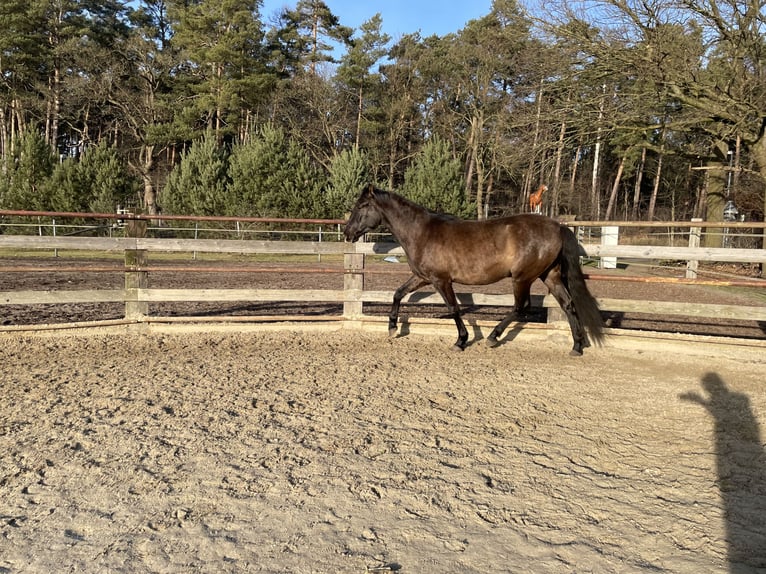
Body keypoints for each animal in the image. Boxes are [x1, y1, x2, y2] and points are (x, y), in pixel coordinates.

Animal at [344, 185, 604, 355]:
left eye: (362, 205)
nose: (347, 233)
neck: (422, 232)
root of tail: (557, 226)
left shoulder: (441, 280)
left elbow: (454, 308)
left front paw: (461, 341)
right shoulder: (422, 277)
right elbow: (398, 293)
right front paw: (392, 327)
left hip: (522, 278)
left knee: (521, 307)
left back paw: (493, 337)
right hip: (549, 275)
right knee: (568, 304)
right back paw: (577, 346)